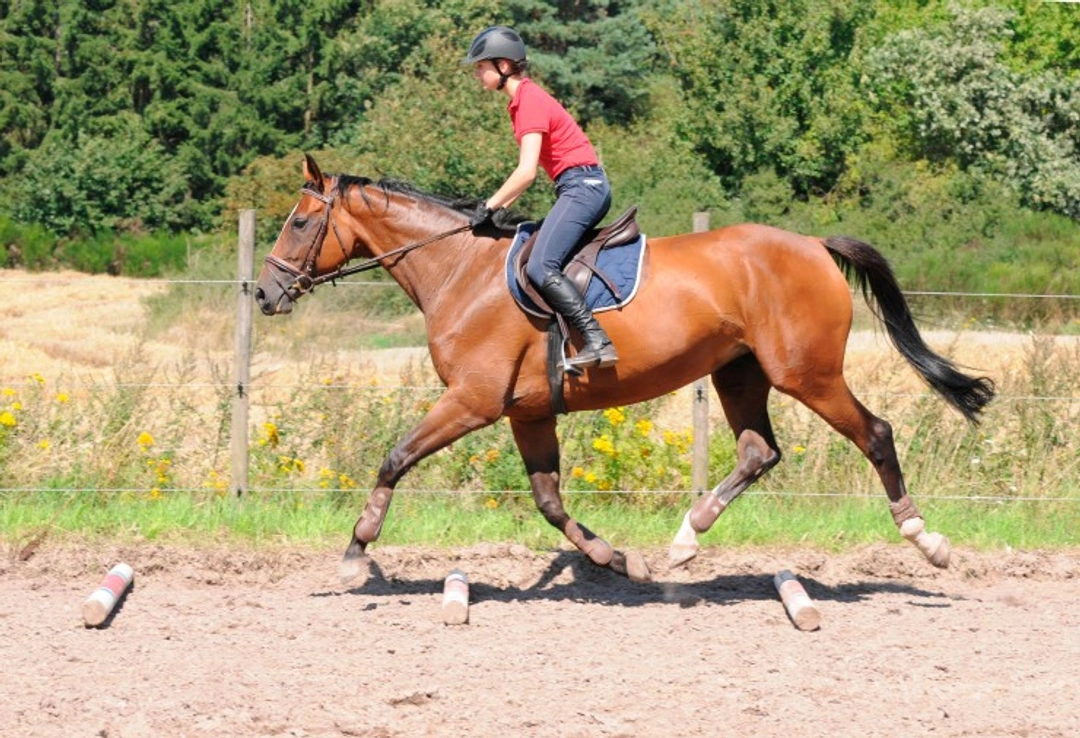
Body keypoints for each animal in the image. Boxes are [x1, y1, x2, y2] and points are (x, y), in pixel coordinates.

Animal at [255, 154, 995, 584]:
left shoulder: (472, 400)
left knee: (875, 434)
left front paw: (357, 553)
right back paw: (684, 543)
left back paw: (926, 540)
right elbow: (550, 501)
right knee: (758, 452)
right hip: (738, 373)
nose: (265, 294)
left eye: (299, 223)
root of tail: (813, 244)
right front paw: (614, 559)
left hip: (806, 374)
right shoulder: (527, 412)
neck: (458, 270)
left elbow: (395, 457)